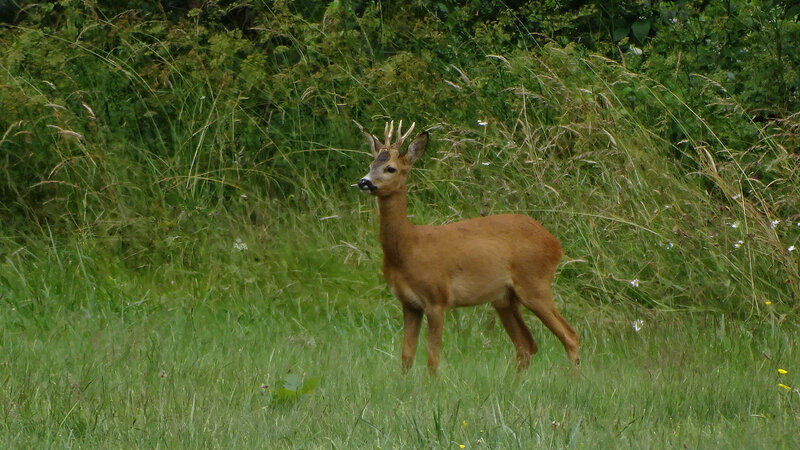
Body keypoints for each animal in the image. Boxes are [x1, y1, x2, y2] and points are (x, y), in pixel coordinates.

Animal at [358, 119, 580, 372]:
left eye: (390, 168)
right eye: (371, 164)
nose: (364, 182)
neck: (408, 247)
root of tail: (555, 243)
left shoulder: (437, 298)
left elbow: (433, 359)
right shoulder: (409, 303)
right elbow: (406, 357)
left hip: (535, 284)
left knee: (569, 335)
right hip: (505, 298)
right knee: (526, 344)